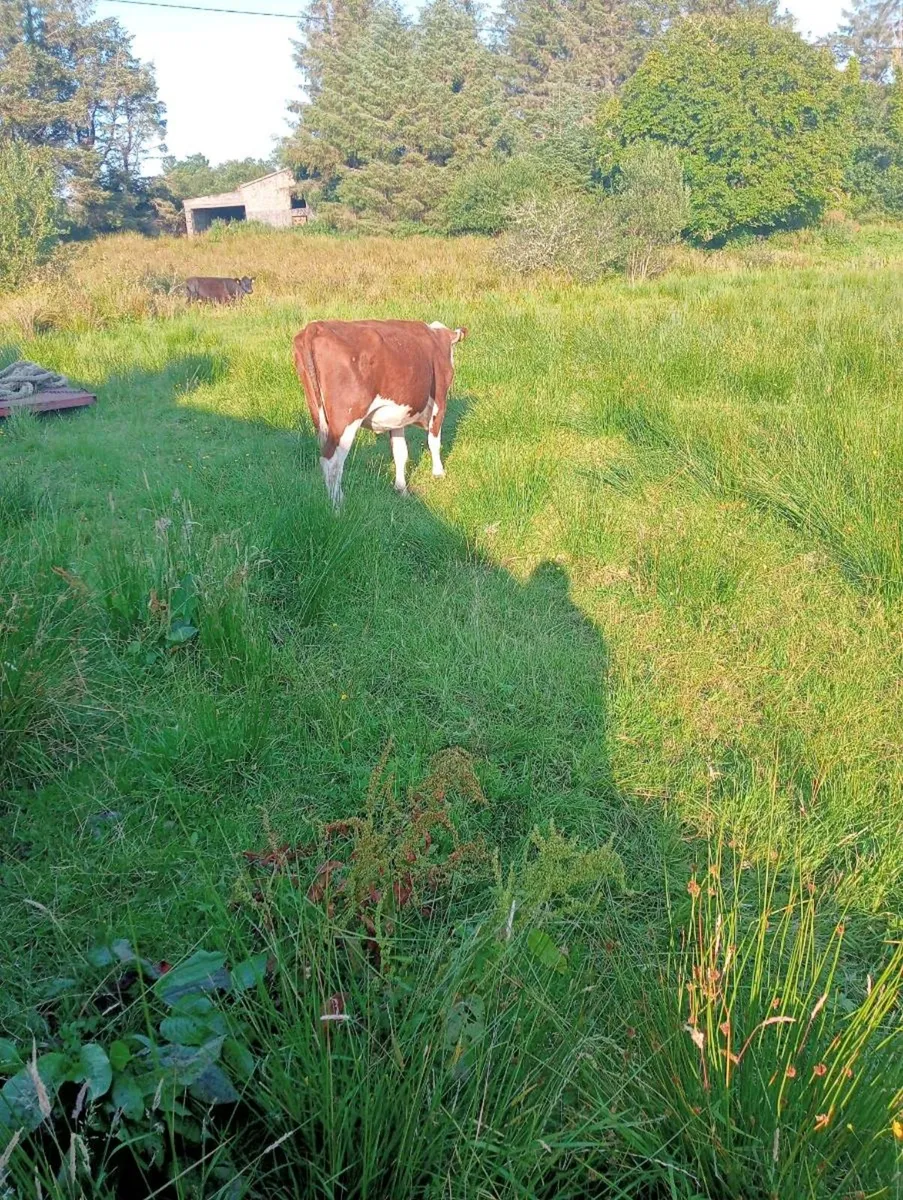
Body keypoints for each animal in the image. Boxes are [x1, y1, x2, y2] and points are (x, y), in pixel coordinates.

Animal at [293, 319, 467, 506]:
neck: (437, 338)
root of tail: (316, 327)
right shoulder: (439, 401)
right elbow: (434, 441)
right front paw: (438, 473)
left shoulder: (398, 416)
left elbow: (400, 452)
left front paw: (401, 489)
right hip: (346, 420)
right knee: (331, 461)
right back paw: (338, 504)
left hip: (317, 410)